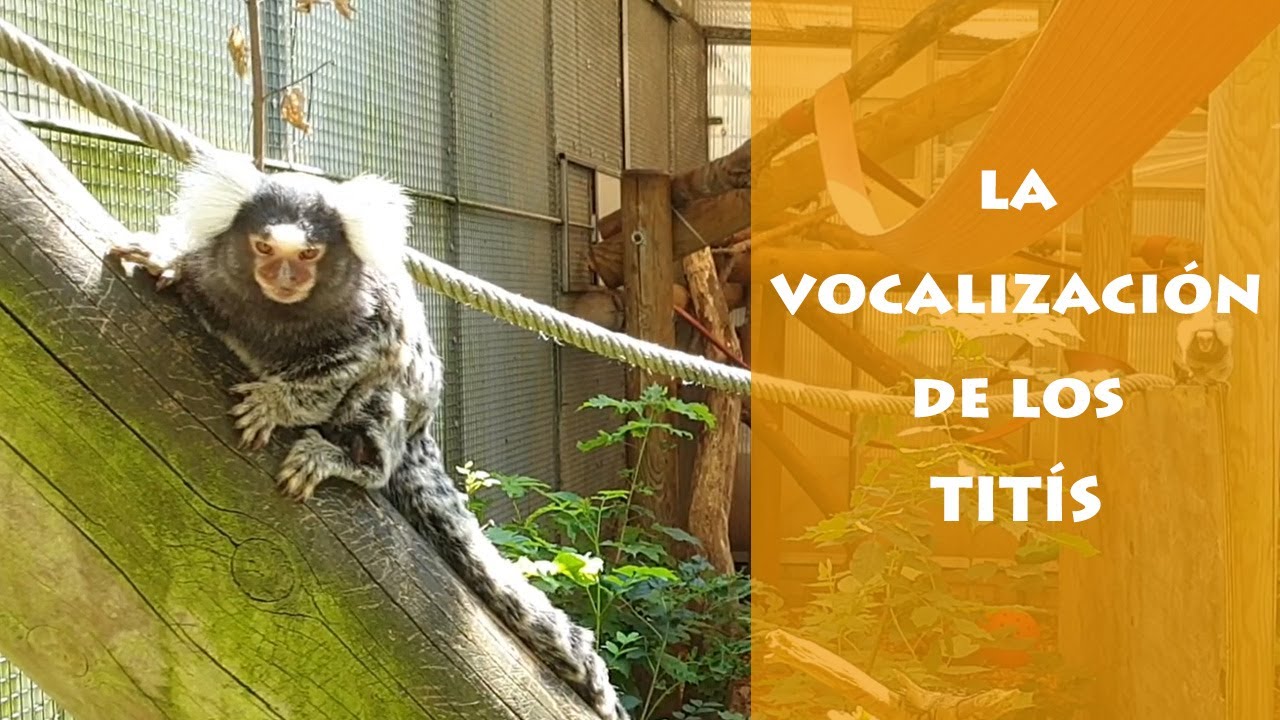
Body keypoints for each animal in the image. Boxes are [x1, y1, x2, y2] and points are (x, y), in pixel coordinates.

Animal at [105, 150, 629, 720]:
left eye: (309, 253)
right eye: (263, 247)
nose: (284, 275)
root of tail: (422, 436)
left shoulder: (371, 324)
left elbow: (350, 368)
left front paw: (278, 403)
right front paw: (165, 257)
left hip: (395, 422)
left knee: (380, 406)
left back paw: (347, 461)